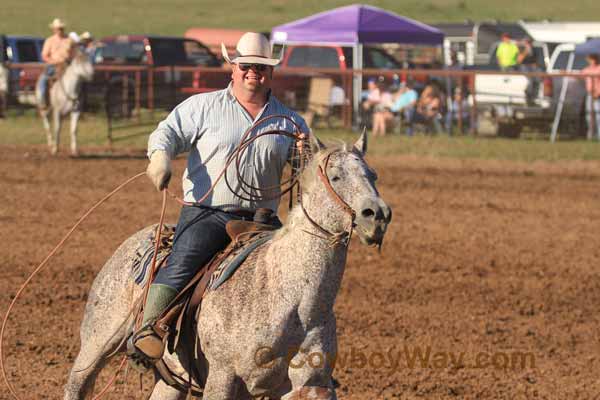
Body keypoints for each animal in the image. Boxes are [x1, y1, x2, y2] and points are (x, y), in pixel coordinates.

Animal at [64, 133, 390, 398]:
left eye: (373, 175)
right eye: (335, 177)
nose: (378, 214)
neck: (293, 299)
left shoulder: (311, 382)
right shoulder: (223, 376)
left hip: (171, 380)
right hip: (96, 343)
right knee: (76, 384)